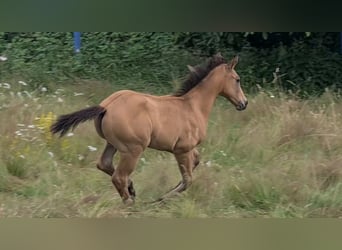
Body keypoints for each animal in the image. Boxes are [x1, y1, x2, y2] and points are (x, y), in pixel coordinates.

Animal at [50, 53, 247, 205]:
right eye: (237, 80)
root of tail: (105, 107)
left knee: (104, 164)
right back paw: (130, 202)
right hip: (133, 149)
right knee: (119, 177)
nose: (244, 103)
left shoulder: (189, 148)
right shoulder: (182, 149)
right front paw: (162, 198)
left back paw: (132, 189)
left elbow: (195, 163)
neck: (192, 106)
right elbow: (188, 179)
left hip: (113, 144)